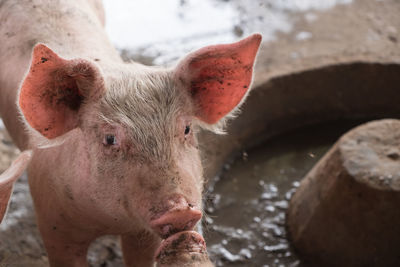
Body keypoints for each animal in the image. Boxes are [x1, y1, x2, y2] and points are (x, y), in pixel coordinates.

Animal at [0, 0, 262, 266]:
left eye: (187, 129)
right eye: (110, 138)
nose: (178, 210)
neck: (108, 222)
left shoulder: (143, 234)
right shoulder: (53, 223)